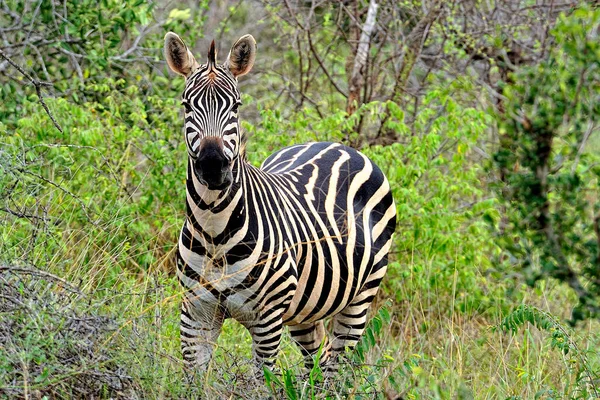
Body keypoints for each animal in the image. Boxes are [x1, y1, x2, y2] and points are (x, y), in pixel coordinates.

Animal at [165, 32, 398, 376]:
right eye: (186, 105)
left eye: (236, 106)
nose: (212, 166)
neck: (214, 229)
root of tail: (339, 145)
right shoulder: (196, 313)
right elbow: (191, 379)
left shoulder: (267, 321)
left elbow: (261, 380)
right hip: (307, 308)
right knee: (316, 362)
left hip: (361, 296)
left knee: (335, 369)